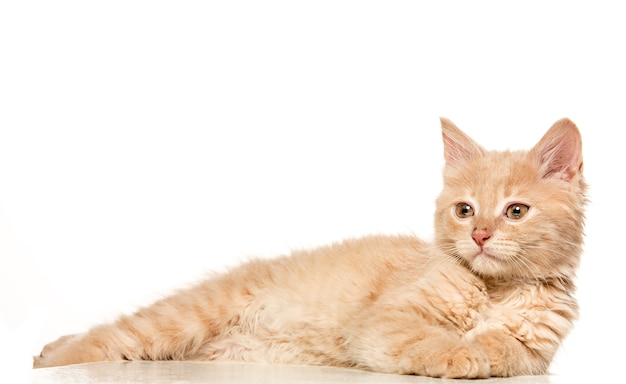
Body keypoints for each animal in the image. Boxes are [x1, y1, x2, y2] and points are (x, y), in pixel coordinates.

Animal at [33, 119, 584, 378]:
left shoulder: (537, 352)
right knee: (104, 337)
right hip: (182, 317)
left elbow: (507, 347)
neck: (495, 290)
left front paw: (484, 348)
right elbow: (427, 338)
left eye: (516, 211)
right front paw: (460, 353)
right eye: (465, 210)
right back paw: (46, 355)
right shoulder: (383, 321)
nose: (479, 236)